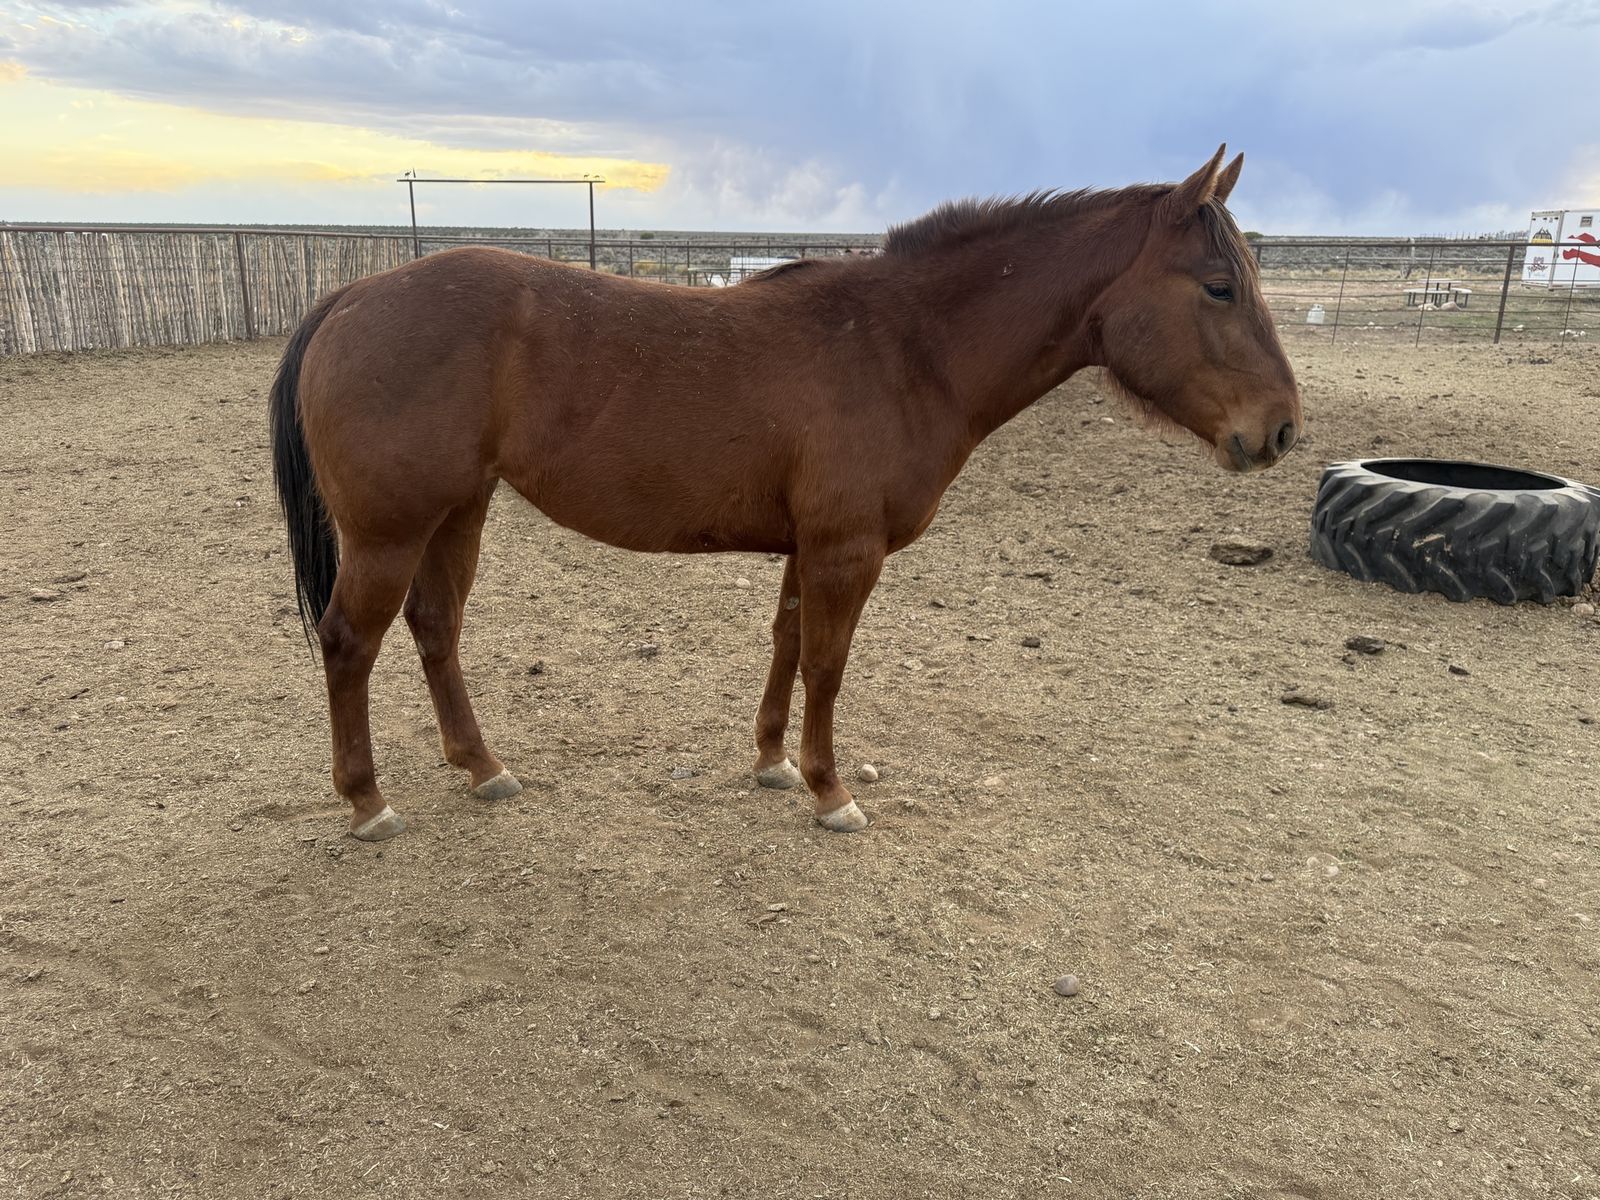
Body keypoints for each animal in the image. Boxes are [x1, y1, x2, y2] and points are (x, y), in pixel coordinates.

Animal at [270, 145, 1301, 842]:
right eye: (1219, 286)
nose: (1283, 430)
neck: (903, 347)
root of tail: (352, 298)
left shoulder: (808, 549)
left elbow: (787, 644)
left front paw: (770, 763)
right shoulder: (848, 551)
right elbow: (828, 666)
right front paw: (829, 789)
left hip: (458, 513)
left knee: (435, 628)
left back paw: (483, 768)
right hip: (391, 531)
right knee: (350, 642)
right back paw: (367, 802)